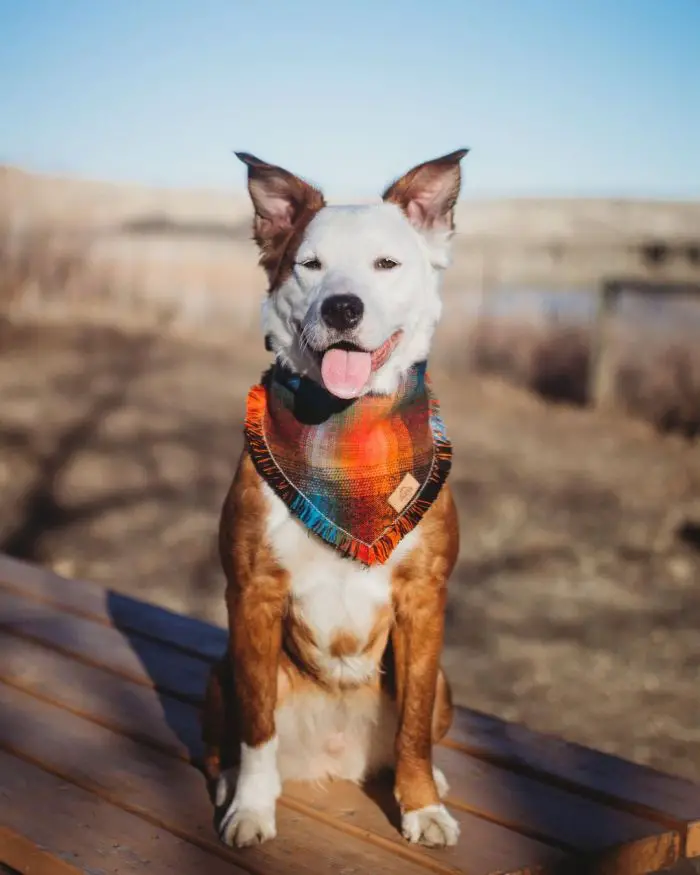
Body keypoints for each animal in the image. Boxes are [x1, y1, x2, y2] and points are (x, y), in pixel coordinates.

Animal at [202, 147, 470, 852]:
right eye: (311, 264)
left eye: (387, 264)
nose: (342, 308)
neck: (344, 429)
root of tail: (336, 759)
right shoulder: (253, 592)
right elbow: (258, 723)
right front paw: (252, 806)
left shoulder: (423, 599)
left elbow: (412, 728)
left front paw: (422, 806)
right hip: (217, 673)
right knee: (229, 737)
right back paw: (230, 782)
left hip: (447, 684)